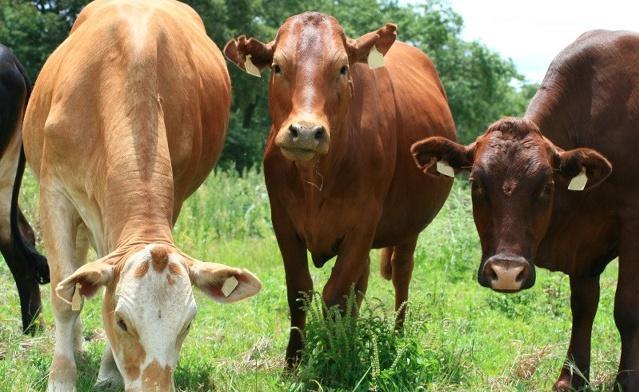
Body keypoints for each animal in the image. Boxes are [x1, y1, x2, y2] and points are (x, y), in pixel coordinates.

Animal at [23, 0, 262, 392]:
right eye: (123, 321)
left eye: (187, 324)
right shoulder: (53, 190)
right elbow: (64, 294)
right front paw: (61, 377)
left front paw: (108, 371)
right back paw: (75, 347)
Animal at [225, 12, 456, 368]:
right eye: (277, 67)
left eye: (343, 68)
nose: (306, 132)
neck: (316, 179)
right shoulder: (283, 220)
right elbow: (300, 290)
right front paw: (294, 361)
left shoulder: (363, 222)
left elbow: (334, 296)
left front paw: (335, 358)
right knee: (359, 286)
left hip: (409, 227)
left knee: (401, 274)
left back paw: (397, 338)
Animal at [412, 29, 639, 390]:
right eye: (476, 182)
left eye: (546, 185)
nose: (507, 272)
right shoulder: (584, 246)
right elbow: (583, 306)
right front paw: (570, 378)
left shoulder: (632, 225)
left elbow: (627, 310)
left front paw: (627, 382)